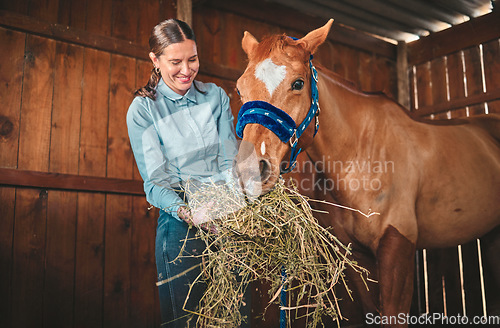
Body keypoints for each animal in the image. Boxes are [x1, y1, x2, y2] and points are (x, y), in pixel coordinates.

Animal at [233, 19, 500, 326]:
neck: (361, 152)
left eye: (298, 83)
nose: (251, 171)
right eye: (240, 89)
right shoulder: (355, 255)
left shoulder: (397, 248)